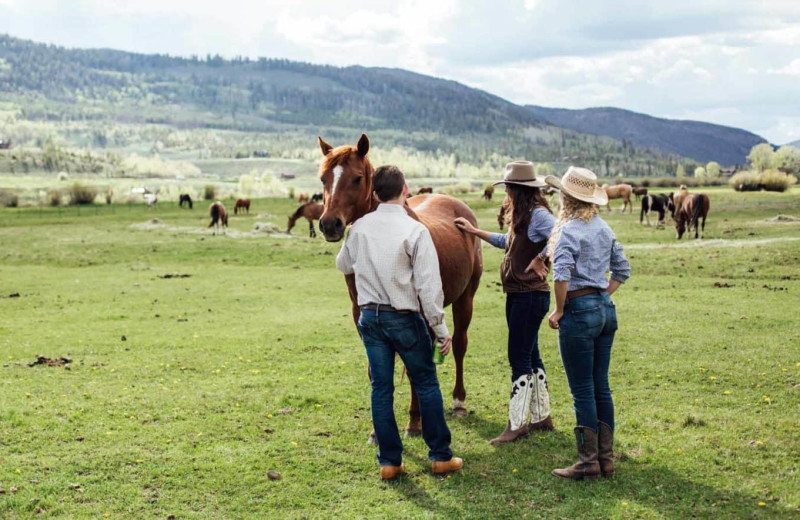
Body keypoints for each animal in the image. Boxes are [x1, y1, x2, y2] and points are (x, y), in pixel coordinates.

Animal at [318, 133, 482, 438]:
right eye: (323, 178)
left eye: (357, 178)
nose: (329, 224)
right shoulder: (361, 313)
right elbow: (377, 369)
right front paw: (378, 430)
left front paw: (414, 422)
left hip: (465, 298)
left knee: (460, 345)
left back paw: (458, 401)